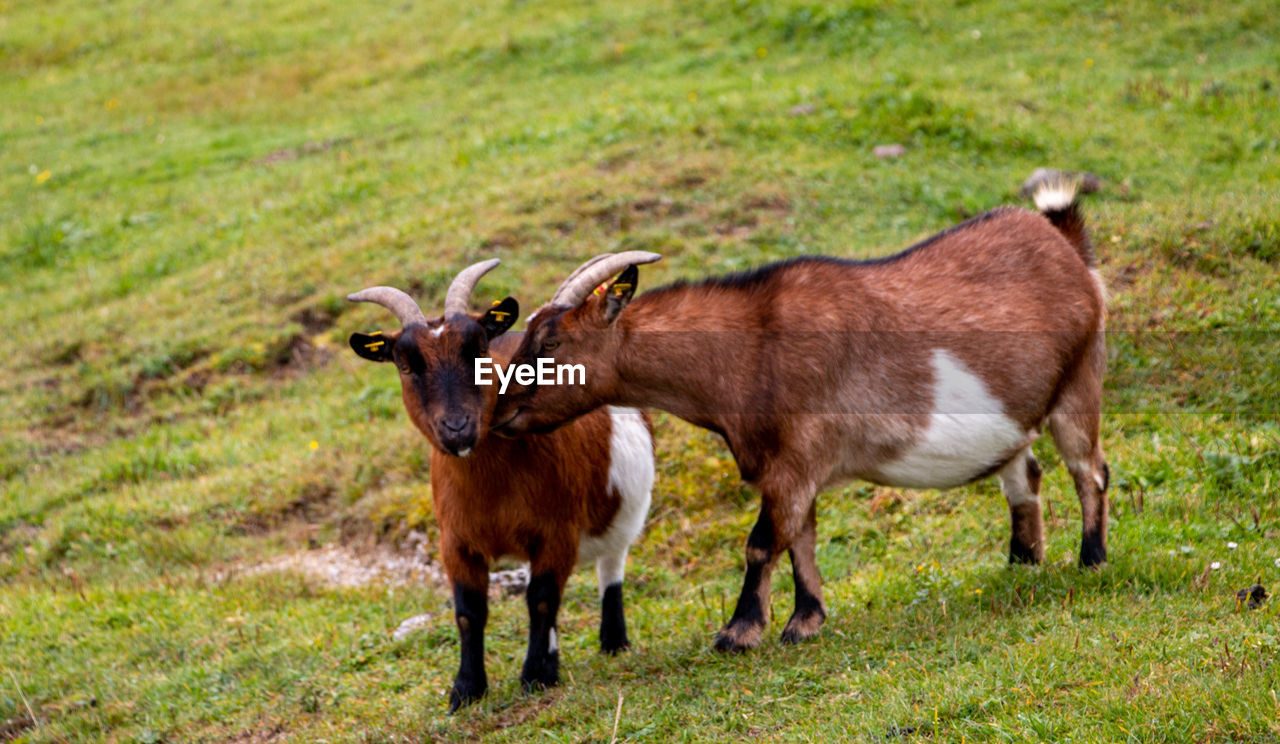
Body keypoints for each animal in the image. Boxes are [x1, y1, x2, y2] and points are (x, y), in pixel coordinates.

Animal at [348, 259, 655, 706]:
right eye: (405, 365)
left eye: (478, 349)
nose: (457, 428)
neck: (493, 487)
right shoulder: (456, 542)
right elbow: (468, 612)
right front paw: (467, 689)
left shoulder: (556, 532)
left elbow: (541, 601)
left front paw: (535, 676)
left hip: (625, 512)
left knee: (610, 568)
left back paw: (613, 642)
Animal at [488, 183, 1111, 653]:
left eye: (551, 342)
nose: (499, 414)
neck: (750, 347)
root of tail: (1064, 243)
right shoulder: (791, 468)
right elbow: (800, 539)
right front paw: (806, 619)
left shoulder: (796, 459)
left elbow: (764, 542)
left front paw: (739, 632)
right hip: (1015, 417)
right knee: (1025, 475)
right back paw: (1022, 563)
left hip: (1078, 382)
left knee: (1090, 471)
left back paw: (1091, 559)